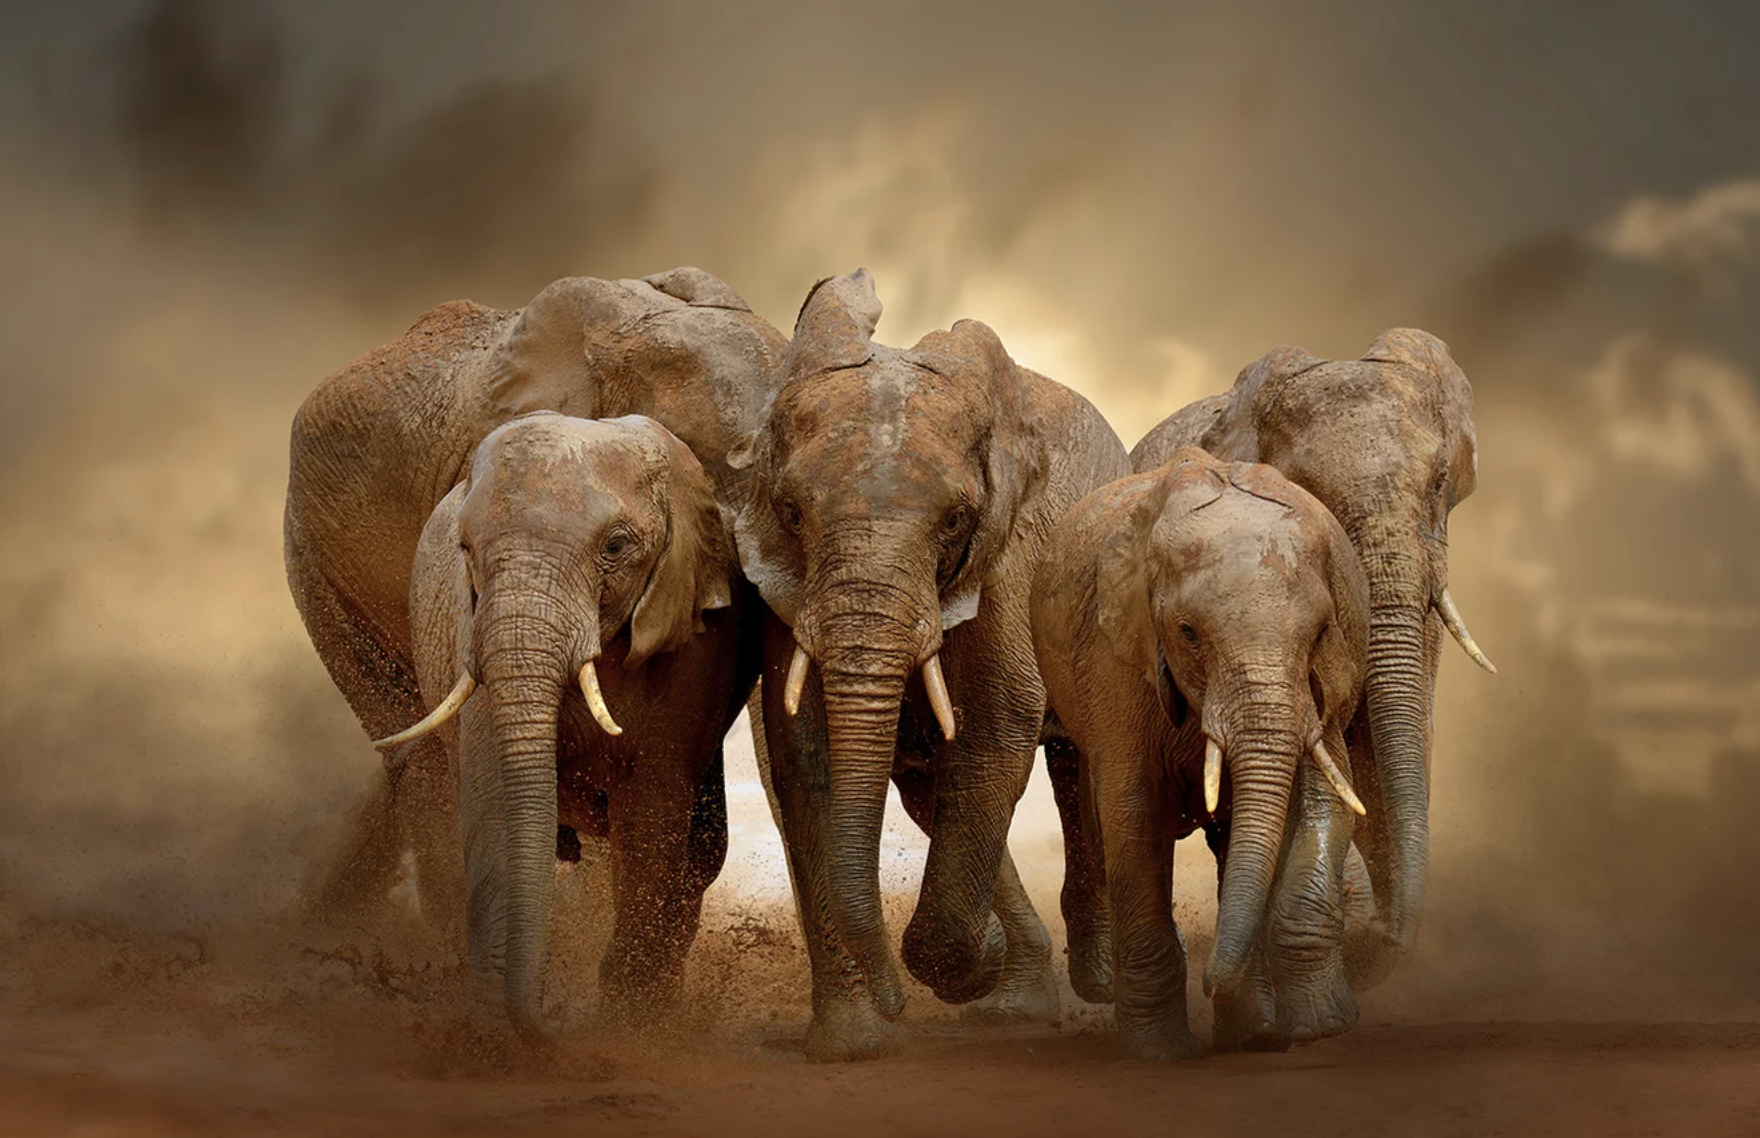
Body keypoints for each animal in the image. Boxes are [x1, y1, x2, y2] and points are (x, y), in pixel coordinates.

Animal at [380, 411, 753, 1039]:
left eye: (616, 546)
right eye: (465, 548)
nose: (554, 1022)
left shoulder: (694, 640)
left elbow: (652, 815)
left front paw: (628, 1024)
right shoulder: (471, 632)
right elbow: (495, 804)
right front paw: (489, 1034)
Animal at [731, 269, 1132, 1061]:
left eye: (954, 521)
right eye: (792, 513)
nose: (893, 1008)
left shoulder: (1007, 554)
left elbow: (1000, 721)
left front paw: (965, 962)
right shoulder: (785, 593)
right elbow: (805, 751)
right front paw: (856, 1039)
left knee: (1080, 763)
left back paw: (1099, 981)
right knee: (930, 789)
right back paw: (1013, 1002)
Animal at [1031, 447, 1371, 1059]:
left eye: (1320, 632)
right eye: (1188, 633)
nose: (1211, 981)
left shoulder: (1327, 680)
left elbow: (1326, 799)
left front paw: (1321, 1025)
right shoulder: (1117, 657)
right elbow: (1133, 813)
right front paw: (1159, 1052)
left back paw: (1256, 1030)